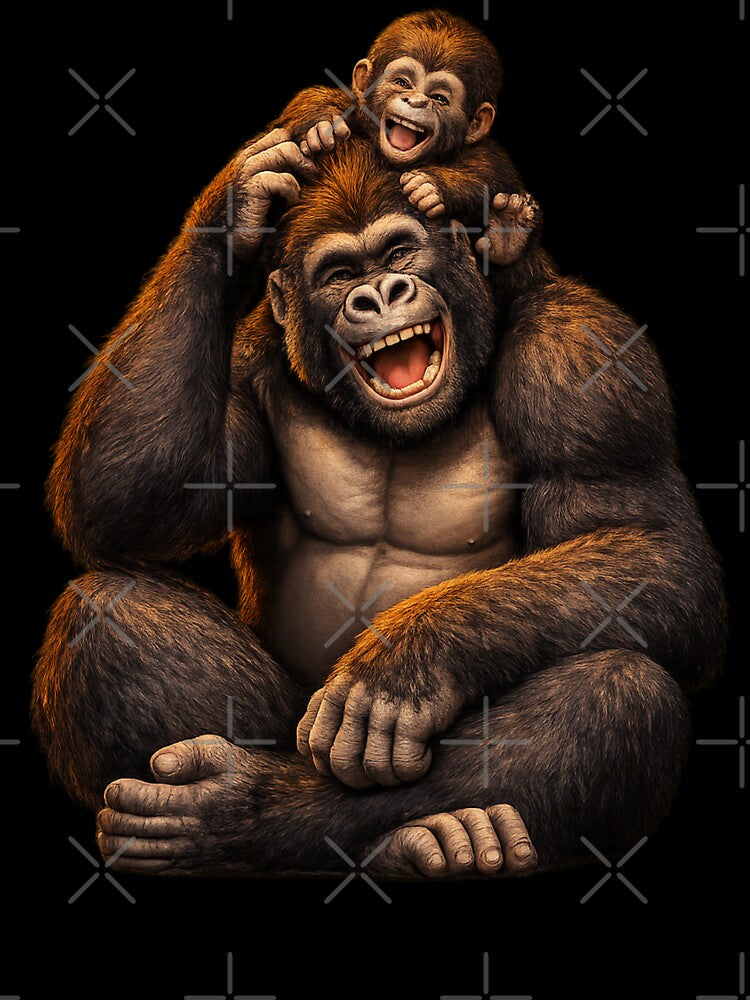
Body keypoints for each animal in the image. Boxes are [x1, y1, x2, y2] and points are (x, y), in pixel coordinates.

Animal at [32, 132, 726, 879]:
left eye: (398, 254)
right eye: (339, 273)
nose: (378, 293)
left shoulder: (586, 359)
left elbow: (649, 543)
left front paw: (407, 664)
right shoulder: (244, 362)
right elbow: (130, 498)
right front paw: (237, 202)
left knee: (621, 687)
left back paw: (267, 816)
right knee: (110, 612)